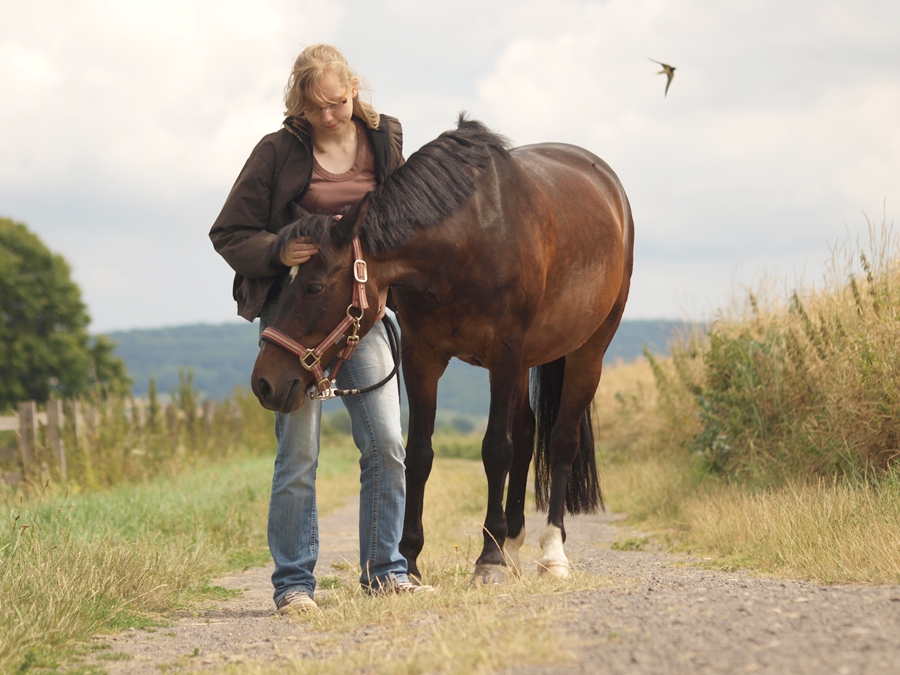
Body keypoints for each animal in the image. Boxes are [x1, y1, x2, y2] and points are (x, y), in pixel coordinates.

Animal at [250, 116, 636, 588]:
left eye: (314, 287)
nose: (265, 382)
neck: (468, 238)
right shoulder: (423, 357)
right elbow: (419, 454)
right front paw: (412, 560)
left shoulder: (503, 356)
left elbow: (495, 449)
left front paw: (487, 559)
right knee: (527, 436)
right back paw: (512, 544)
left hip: (587, 351)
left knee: (562, 440)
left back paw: (551, 553)